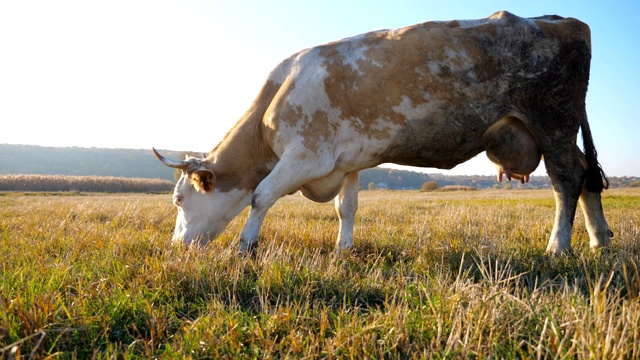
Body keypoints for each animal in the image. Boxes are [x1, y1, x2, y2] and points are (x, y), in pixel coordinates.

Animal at [152, 11, 612, 256]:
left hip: (552, 120)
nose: (176, 246)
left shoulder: (306, 155)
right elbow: (347, 207)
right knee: (586, 175)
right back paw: (599, 239)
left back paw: (559, 246)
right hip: (556, 127)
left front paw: (246, 247)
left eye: (179, 199)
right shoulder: (347, 161)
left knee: (566, 179)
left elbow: (261, 195)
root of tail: (563, 20)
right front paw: (344, 249)